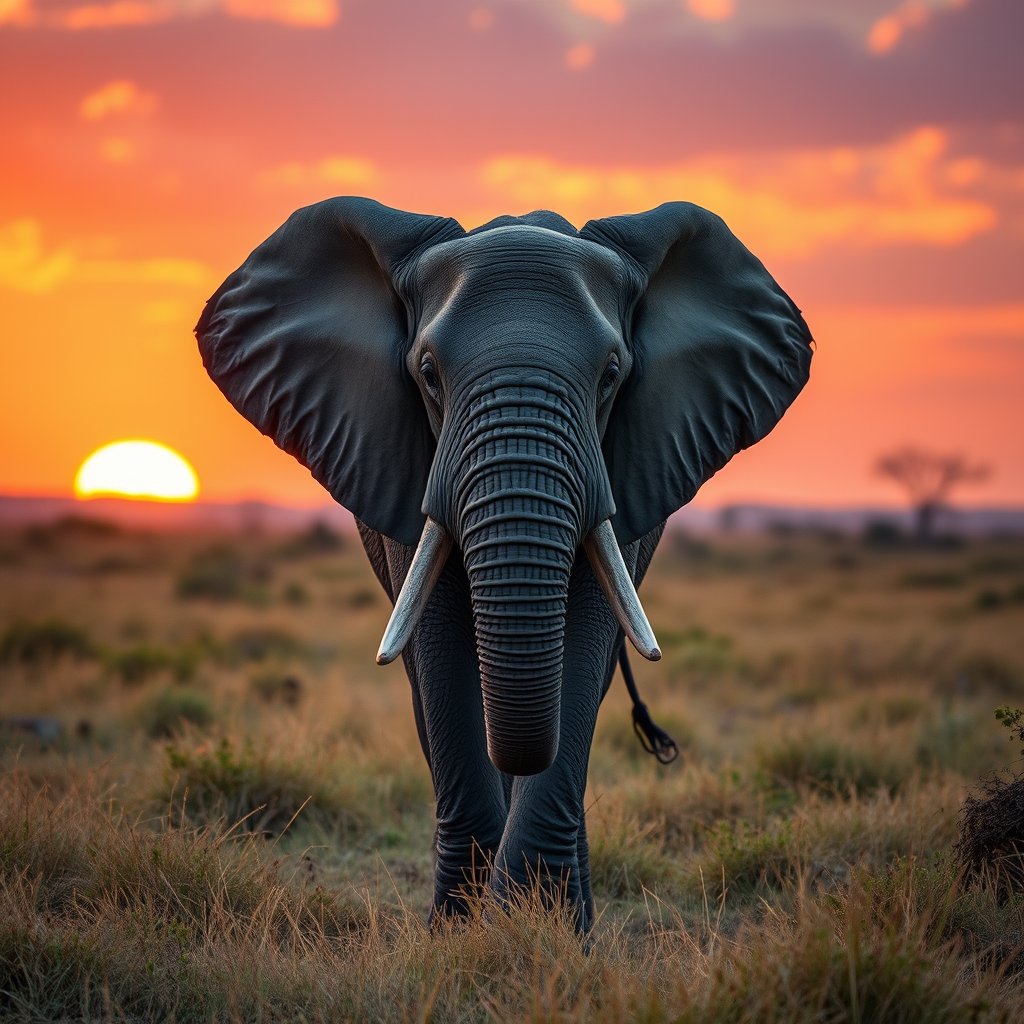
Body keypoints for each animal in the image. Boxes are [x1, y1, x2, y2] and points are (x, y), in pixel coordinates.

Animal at [195, 197, 812, 932]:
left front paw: (538, 930)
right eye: (428, 372)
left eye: (611, 374)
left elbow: (582, 648)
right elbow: (441, 655)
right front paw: (462, 936)